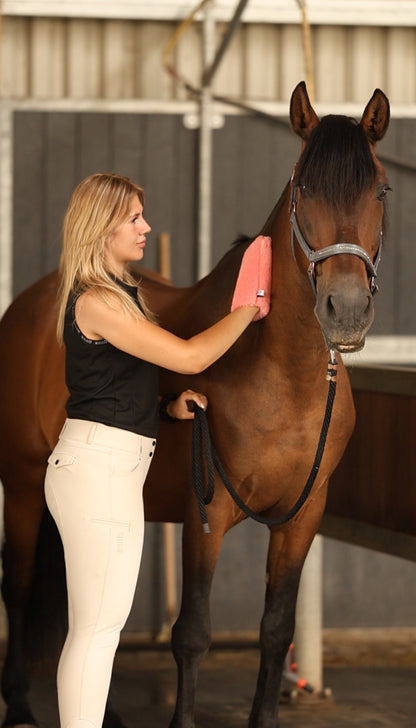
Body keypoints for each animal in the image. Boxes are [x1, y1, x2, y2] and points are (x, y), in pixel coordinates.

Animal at [0, 81, 390, 728]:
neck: (285, 377)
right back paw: (20, 710)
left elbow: (276, 629)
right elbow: (193, 633)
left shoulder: (303, 518)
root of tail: (29, 303)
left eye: (380, 190)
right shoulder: (206, 511)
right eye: (305, 189)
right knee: (21, 588)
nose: (347, 310)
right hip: (26, 484)